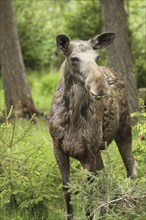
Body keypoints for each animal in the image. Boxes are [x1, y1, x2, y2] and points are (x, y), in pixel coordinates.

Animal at [48, 33, 136, 220]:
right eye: (74, 59)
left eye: (97, 57)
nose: (100, 87)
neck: (73, 117)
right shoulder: (58, 147)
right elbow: (68, 189)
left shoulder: (88, 153)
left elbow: (87, 193)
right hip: (99, 150)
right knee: (103, 177)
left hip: (124, 131)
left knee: (131, 168)